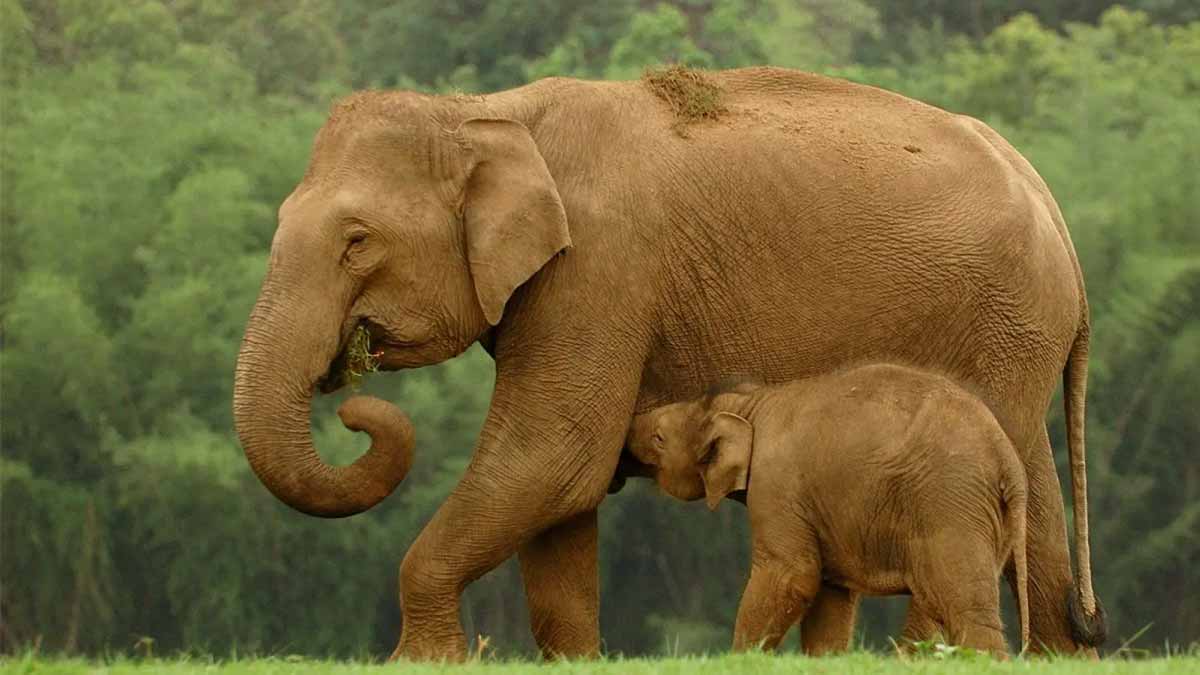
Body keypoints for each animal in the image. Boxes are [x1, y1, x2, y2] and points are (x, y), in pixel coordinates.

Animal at [624, 364, 1030, 657]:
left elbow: (793, 575)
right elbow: (830, 597)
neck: (749, 403)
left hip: (949, 502)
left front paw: (740, 660)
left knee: (964, 606)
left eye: (659, 438)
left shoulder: (777, 486)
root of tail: (1007, 459)